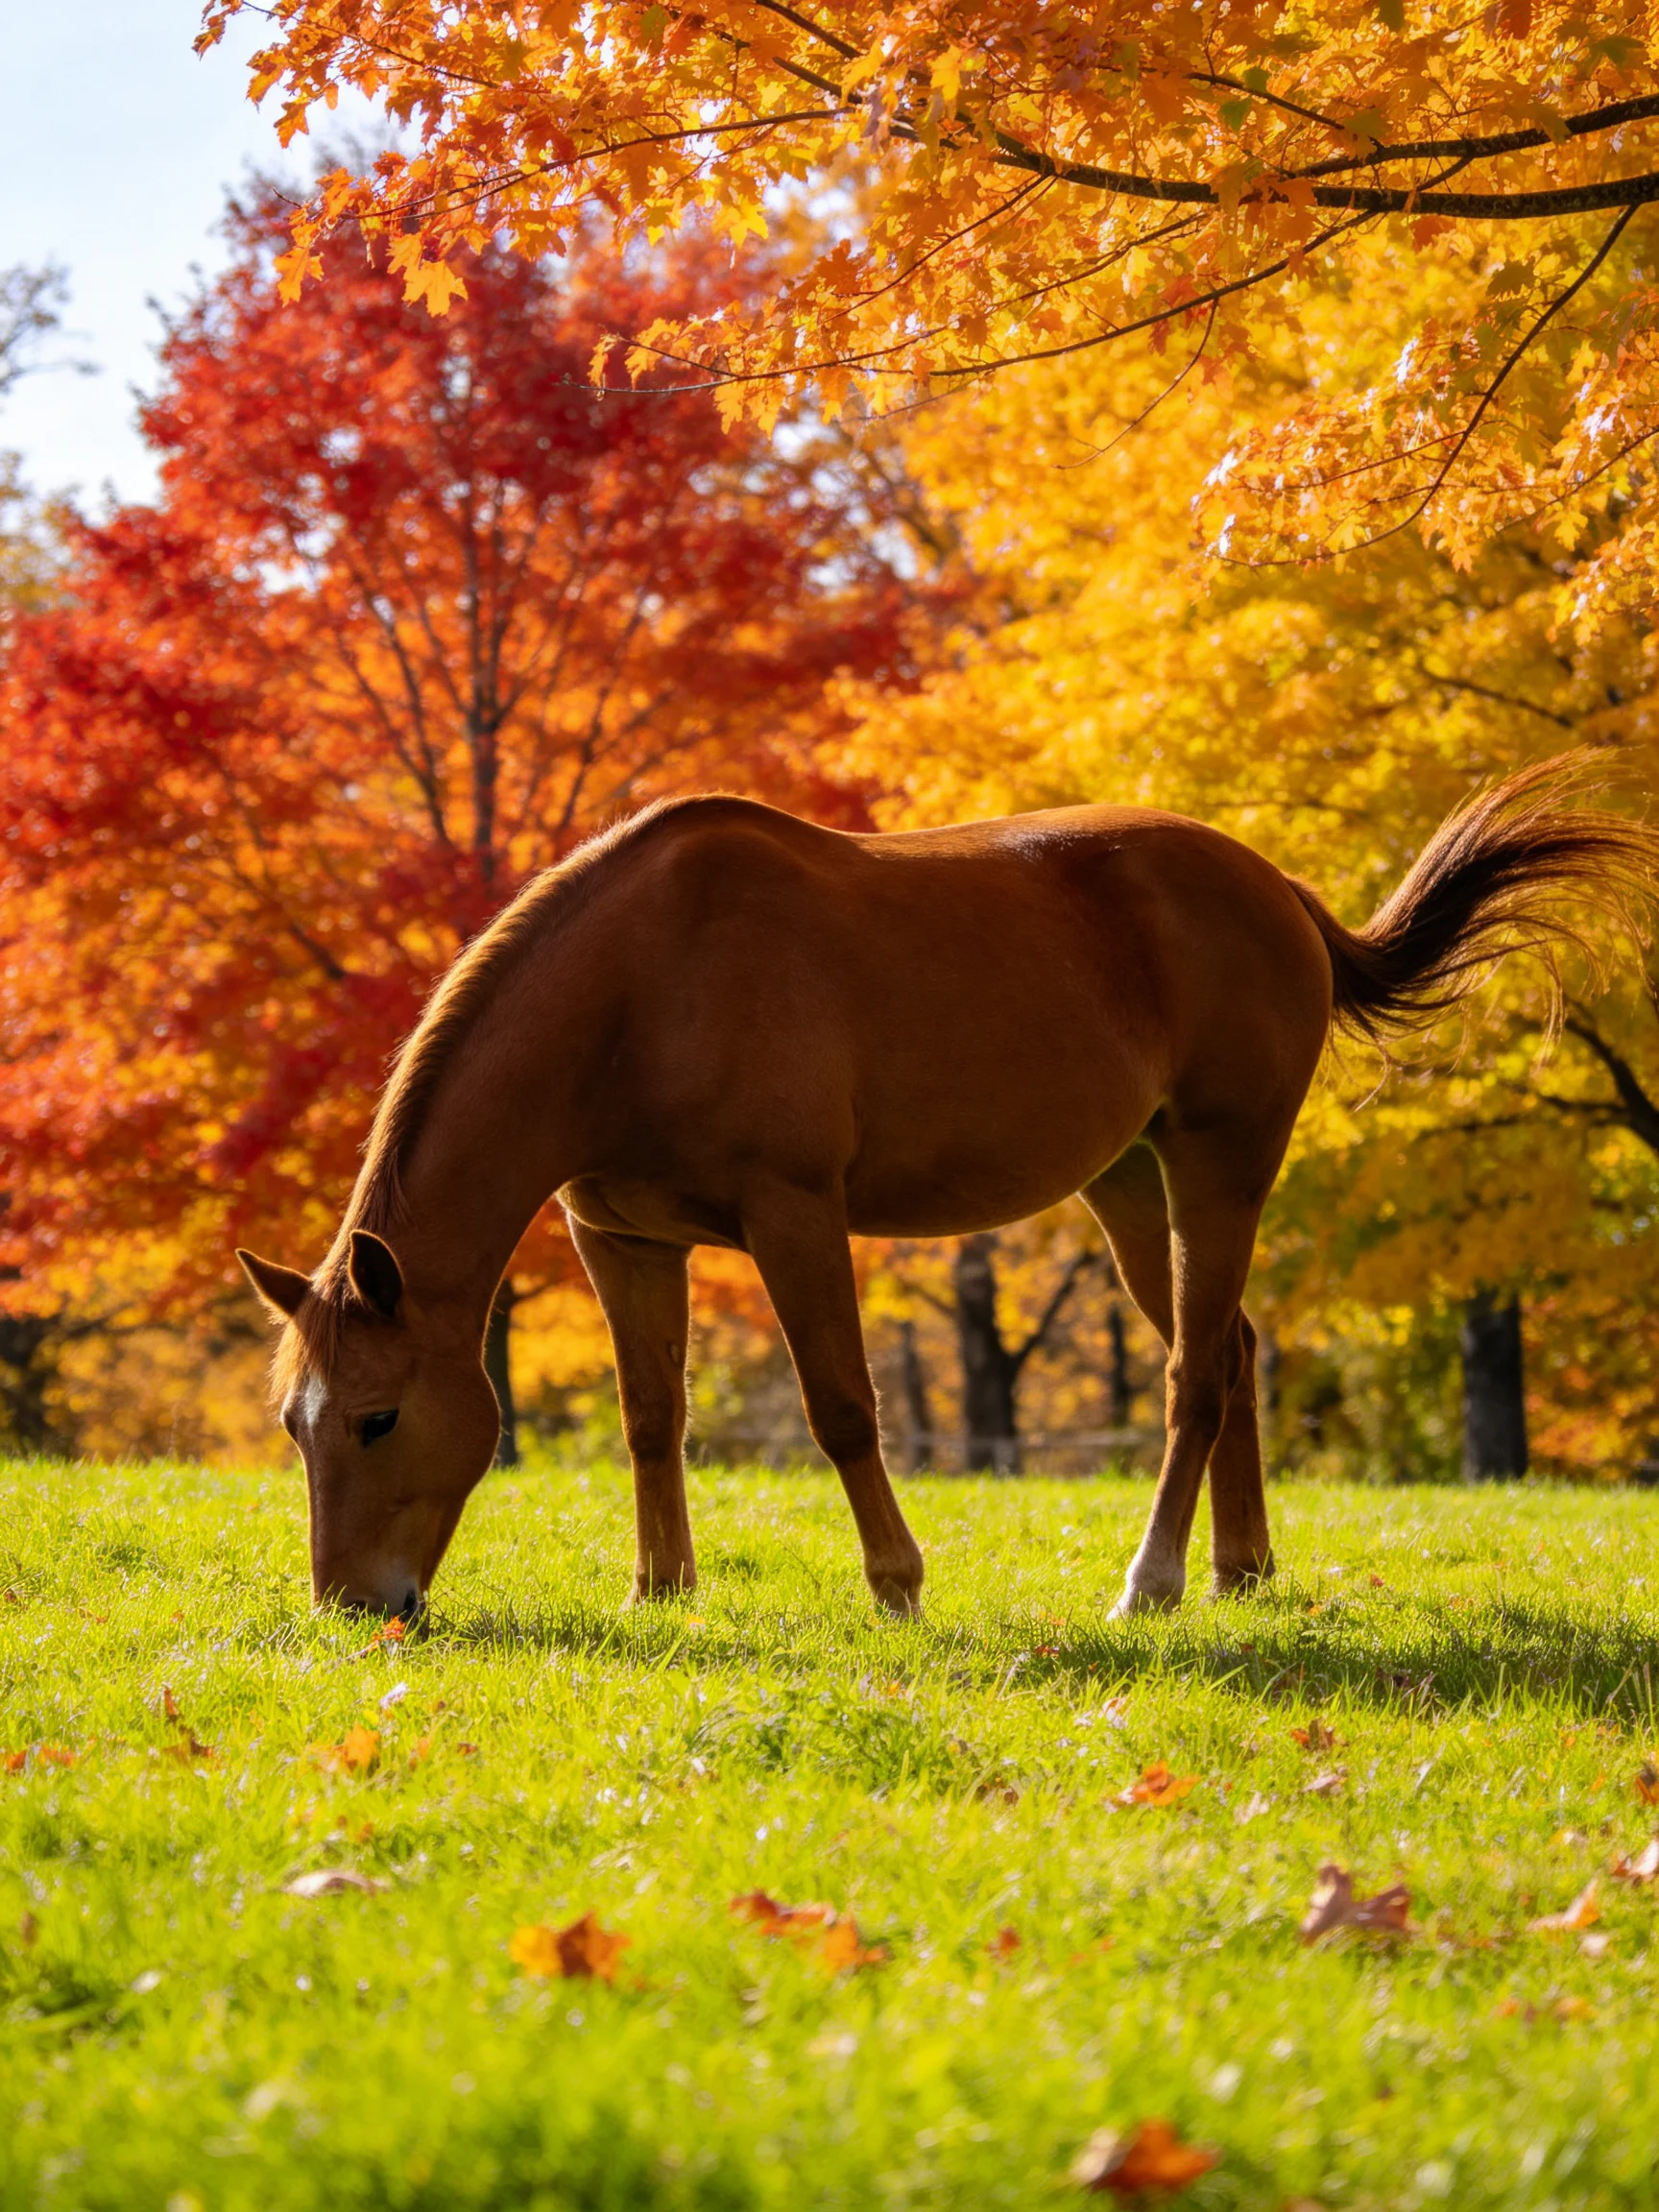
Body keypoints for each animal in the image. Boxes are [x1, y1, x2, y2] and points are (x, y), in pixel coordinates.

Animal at [237, 755, 1653, 1621]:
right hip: (1129, 1187)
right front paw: (660, 1591)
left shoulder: (795, 1216)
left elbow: (841, 1408)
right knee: (1236, 1349)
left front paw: (897, 1582)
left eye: (375, 1417)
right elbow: (652, 1417)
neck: (643, 986)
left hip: (1220, 1164)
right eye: (295, 1426)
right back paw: (1241, 1570)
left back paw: (1149, 1583)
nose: (354, 1607)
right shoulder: (622, 1240)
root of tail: (1283, 895)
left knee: (1196, 1373)